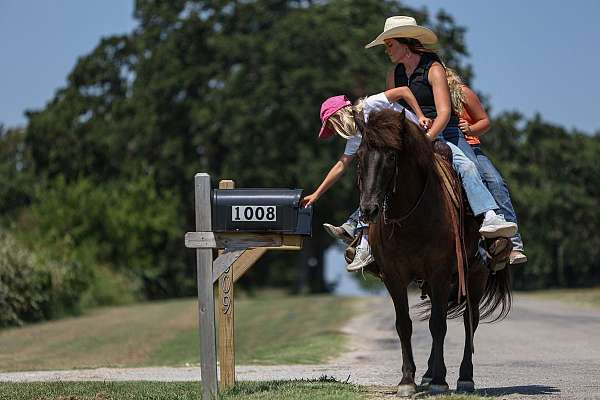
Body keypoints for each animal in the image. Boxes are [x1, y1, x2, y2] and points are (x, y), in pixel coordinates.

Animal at [356, 108, 510, 396]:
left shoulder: (439, 273)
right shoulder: (394, 277)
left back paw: (464, 377)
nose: (369, 209)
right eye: (360, 155)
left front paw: (440, 381)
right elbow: (404, 325)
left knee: (469, 322)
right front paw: (408, 380)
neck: (410, 216)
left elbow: (439, 325)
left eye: (391, 156)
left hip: (475, 276)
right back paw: (428, 374)